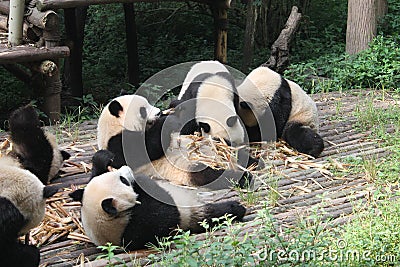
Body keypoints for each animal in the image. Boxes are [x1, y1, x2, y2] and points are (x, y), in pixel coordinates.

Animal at [69, 165, 245, 251]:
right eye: (123, 180)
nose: (127, 168)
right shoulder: (137, 229)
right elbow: (166, 217)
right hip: (194, 215)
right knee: (213, 214)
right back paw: (236, 208)